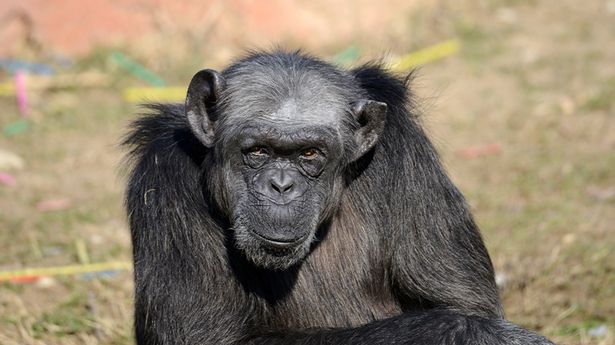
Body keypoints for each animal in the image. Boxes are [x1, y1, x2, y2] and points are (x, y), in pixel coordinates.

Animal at [124, 49, 552, 342]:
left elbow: (465, 303)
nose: (282, 185)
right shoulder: (166, 179)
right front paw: (464, 331)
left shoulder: (404, 150)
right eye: (257, 151)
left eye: (309, 154)